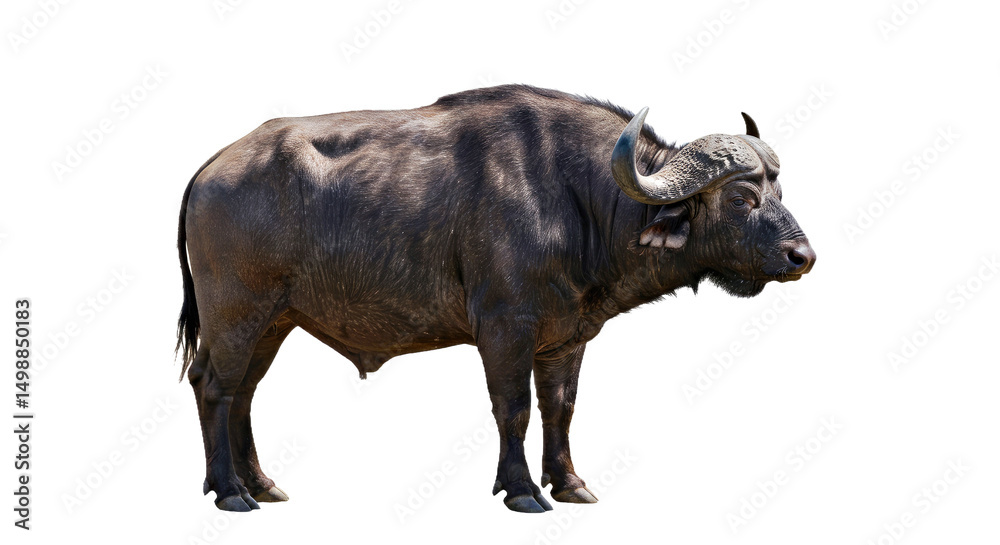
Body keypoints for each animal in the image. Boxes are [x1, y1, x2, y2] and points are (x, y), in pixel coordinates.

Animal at [176, 84, 815, 513]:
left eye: (779, 190)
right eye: (740, 197)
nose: (801, 257)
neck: (578, 198)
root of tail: (211, 168)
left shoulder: (567, 337)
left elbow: (560, 408)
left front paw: (570, 483)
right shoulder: (505, 328)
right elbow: (514, 408)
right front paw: (523, 490)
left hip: (274, 321)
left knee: (243, 394)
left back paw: (260, 484)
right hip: (236, 314)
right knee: (214, 386)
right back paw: (229, 491)